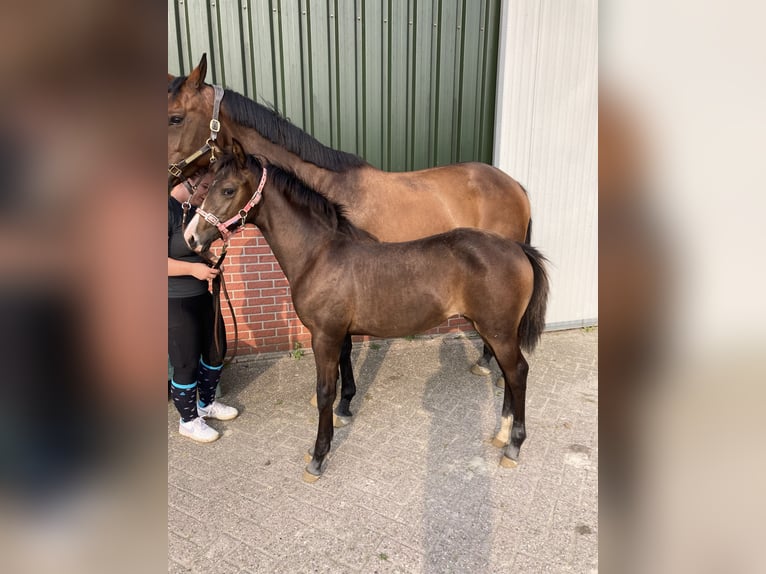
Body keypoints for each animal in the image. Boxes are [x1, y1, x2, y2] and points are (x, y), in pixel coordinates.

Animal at [183, 142, 548, 484]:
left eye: (227, 190)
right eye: (206, 185)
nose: (191, 238)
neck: (319, 254)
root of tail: (517, 248)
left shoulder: (325, 336)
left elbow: (325, 392)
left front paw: (318, 457)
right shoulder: (339, 334)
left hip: (498, 330)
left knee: (517, 372)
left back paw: (513, 445)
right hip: (492, 329)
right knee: (508, 372)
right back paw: (502, 432)